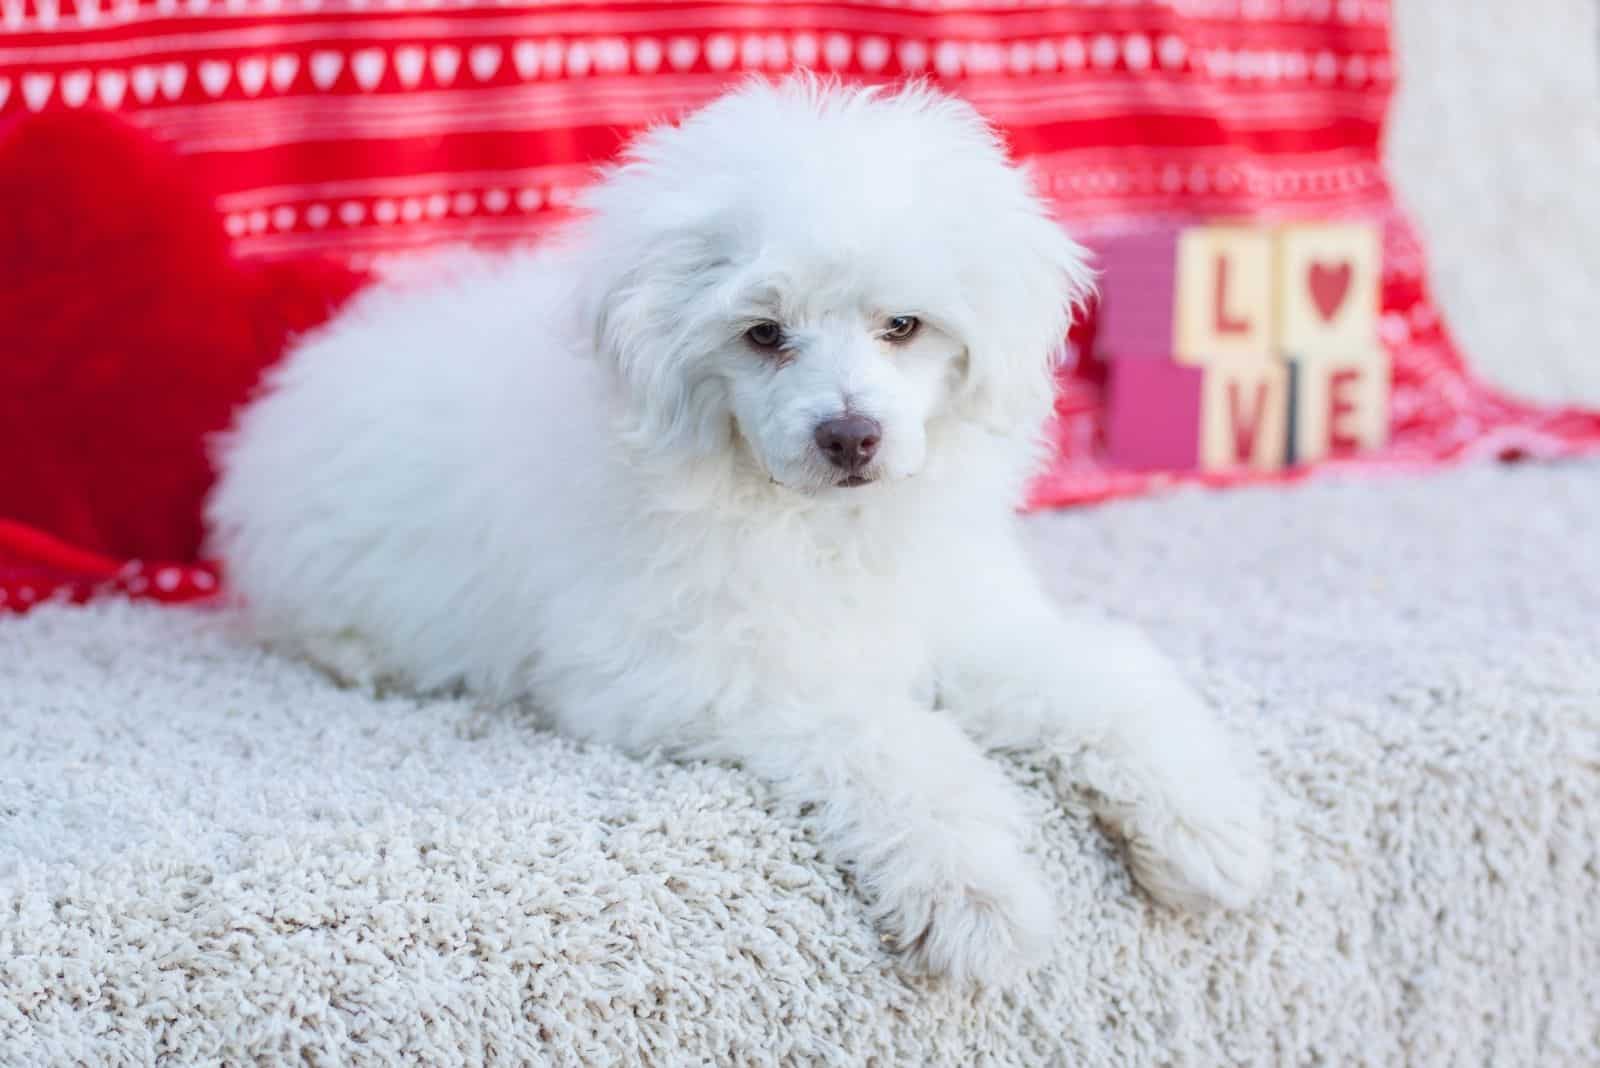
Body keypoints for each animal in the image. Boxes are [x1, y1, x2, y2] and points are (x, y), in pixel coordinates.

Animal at [206, 77, 1267, 984]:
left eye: (903, 326)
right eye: (763, 334)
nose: (850, 435)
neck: (812, 523)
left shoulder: (961, 615)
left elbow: (1098, 681)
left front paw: (1207, 827)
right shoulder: (693, 671)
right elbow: (890, 742)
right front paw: (979, 898)